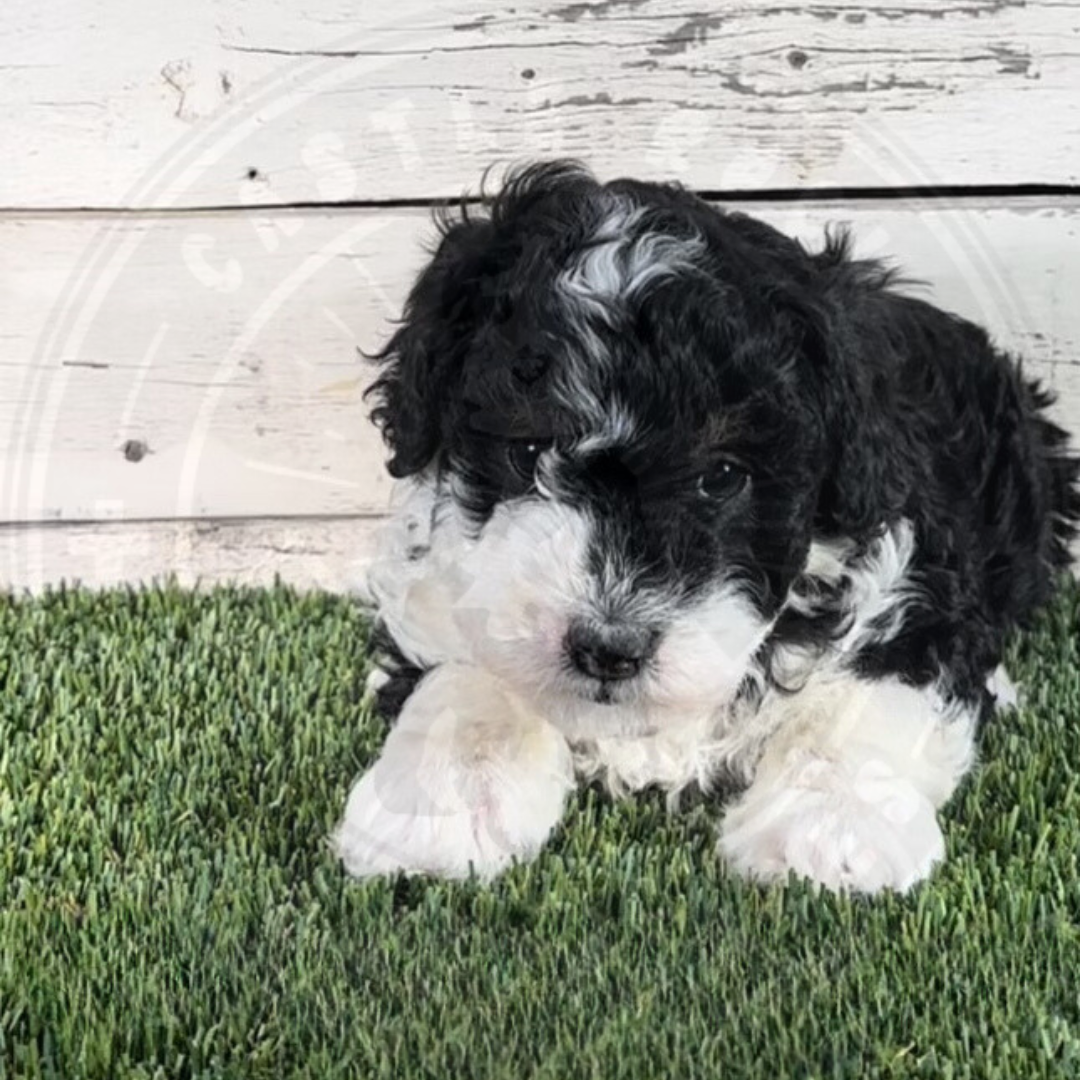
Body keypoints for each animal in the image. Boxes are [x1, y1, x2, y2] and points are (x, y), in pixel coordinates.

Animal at [332, 159, 1075, 894]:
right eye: (528, 450)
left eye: (722, 474)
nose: (609, 650)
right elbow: (465, 669)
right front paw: (439, 811)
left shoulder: (917, 573)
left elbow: (878, 689)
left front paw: (826, 832)